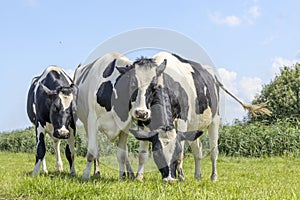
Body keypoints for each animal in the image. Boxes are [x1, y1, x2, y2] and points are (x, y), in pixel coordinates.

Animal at [129, 52, 270, 181]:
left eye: (151, 86)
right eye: (157, 154)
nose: (169, 179)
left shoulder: (182, 121)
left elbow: (181, 152)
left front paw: (181, 176)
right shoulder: (144, 123)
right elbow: (142, 155)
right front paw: (139, 178)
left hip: (214, 121)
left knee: (214, 151)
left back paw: (213, 177)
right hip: (194, 126)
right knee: (198, 150)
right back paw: (197, 176)